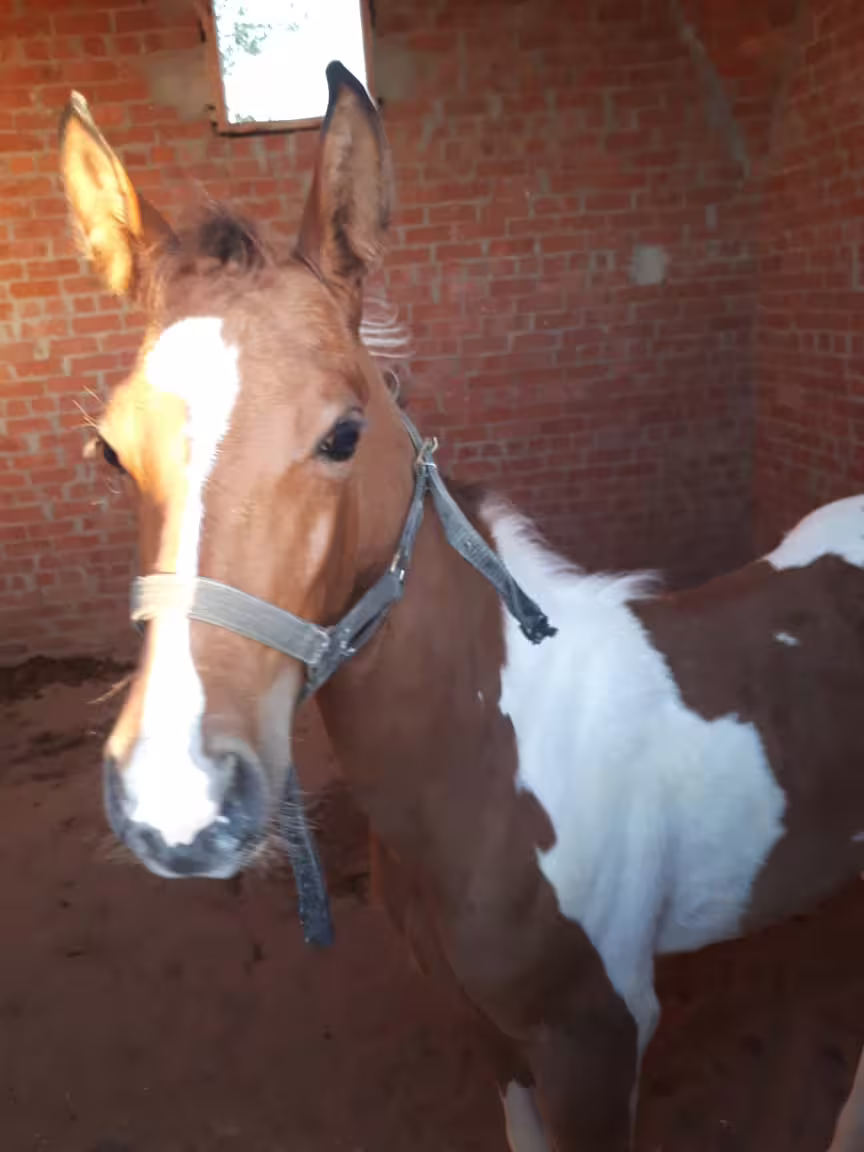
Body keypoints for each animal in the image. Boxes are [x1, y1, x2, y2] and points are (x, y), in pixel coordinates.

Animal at [54, 61, 864, 1151]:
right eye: (109, 448)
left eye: (344, 433)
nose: (175, 803)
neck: (491, 765)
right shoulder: (493, 1033)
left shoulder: (599, 1037)